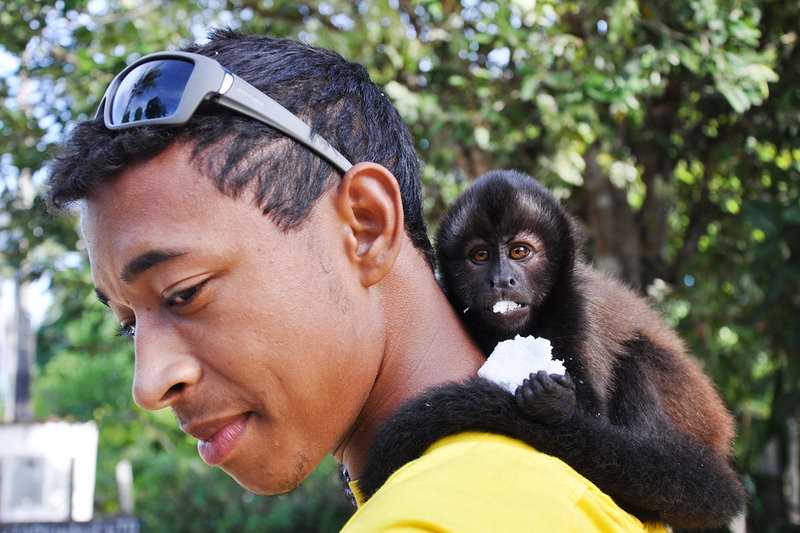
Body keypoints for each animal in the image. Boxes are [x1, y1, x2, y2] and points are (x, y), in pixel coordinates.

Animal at [356, 169, 744, 528]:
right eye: (480, 255)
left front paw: (553, 401)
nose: (502, 280)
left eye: (519, 252)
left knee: (637, 361)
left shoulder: (577, 308)